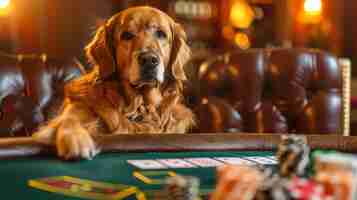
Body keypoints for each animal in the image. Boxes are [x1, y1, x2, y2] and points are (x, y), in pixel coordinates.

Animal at [33, 5, 193, 159]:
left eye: (161, 34)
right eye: (127, 35)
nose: (149, 60)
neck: (139, 105)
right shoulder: (75, 110)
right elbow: (68, 120)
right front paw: (76, 139)